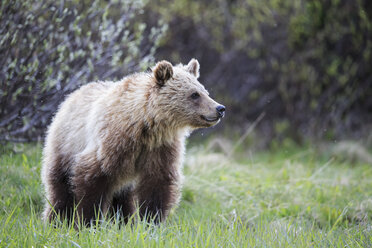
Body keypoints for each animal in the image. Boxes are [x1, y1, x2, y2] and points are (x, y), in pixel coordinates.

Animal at [42, 58, 225, 225]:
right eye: (194, 94)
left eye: (205, 91)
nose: (220, 108)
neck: (145, 125)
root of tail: (72, 94)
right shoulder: (110, 142)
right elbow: (91, 180)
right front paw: (88, 221)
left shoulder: (160, 148)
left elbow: (157, 185)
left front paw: (151, 222)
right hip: (65, 145)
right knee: (60, 188)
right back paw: (56, 220)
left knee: (123, 196)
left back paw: (124, 222)